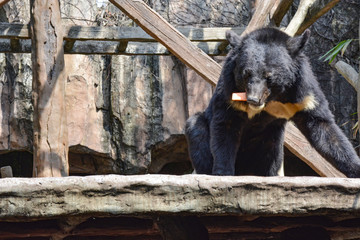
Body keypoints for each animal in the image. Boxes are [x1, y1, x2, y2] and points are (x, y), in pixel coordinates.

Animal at [186, 28, 360, 178]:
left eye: (268, 77)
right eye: (246, 74)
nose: (253, 99)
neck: (273, 98)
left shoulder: (303, 91)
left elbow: (322, 126)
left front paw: (355, 168)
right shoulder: (229, 88)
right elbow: (225, 126)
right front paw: (223, 173)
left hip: (271, 143)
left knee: (272, 158)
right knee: (196, 129)